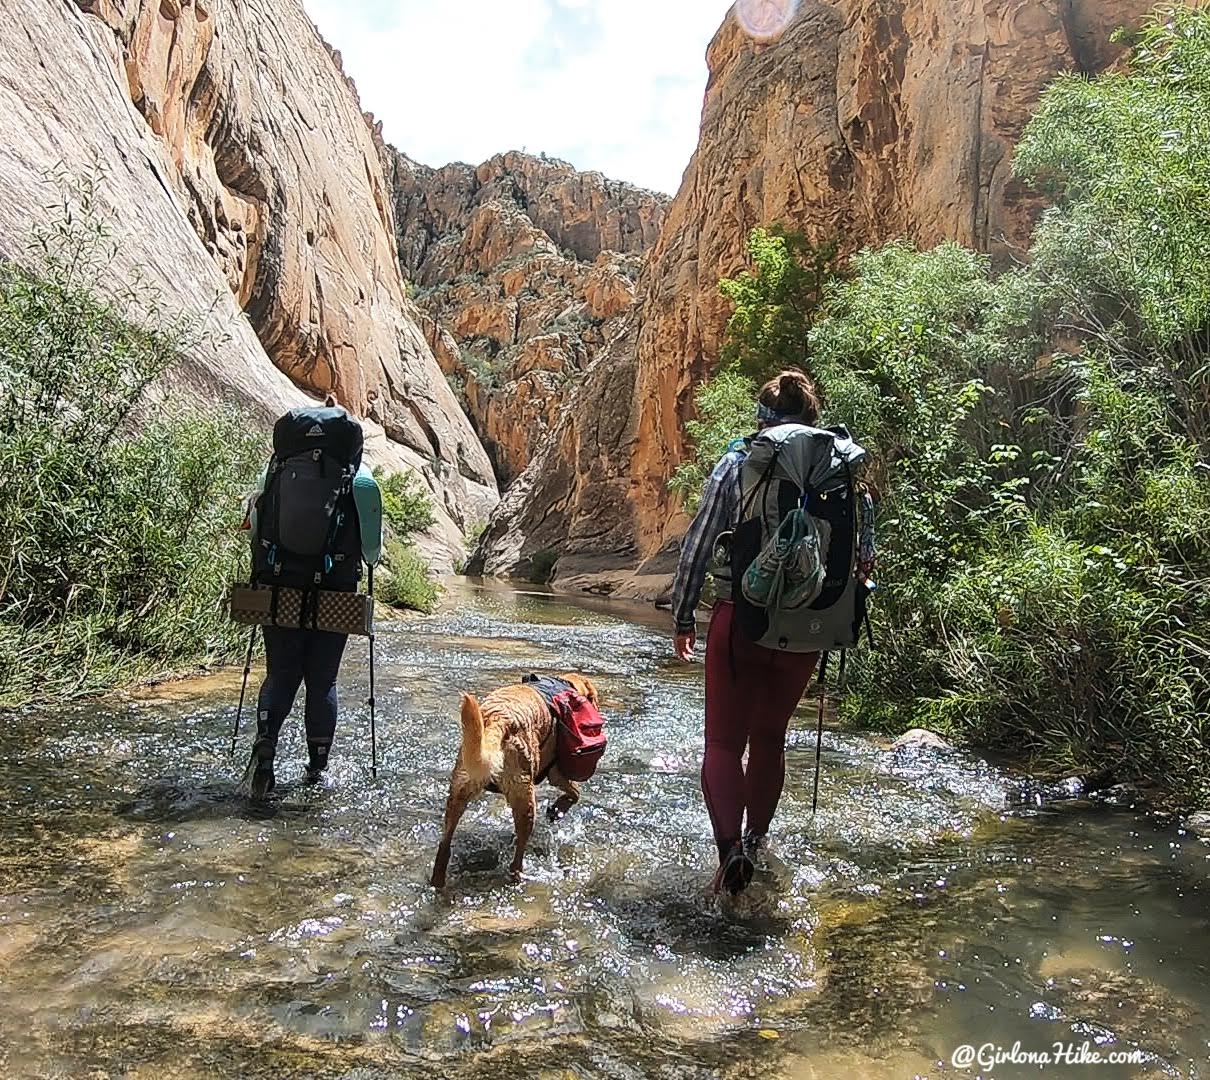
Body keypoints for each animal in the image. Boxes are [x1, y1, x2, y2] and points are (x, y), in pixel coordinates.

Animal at [430, 672, 600, 890]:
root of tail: (498, 720)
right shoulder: (555, 772)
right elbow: (576, 793)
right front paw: (557, 810)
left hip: (458, 792)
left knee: (443, 848)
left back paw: (437, 882)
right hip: (526, 802)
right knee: (517, 859)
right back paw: (518, 878)